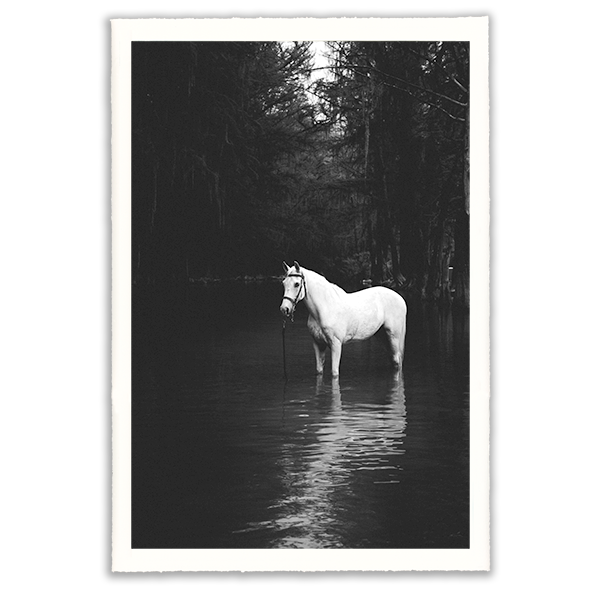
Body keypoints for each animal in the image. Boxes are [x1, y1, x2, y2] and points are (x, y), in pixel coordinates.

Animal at [278, 260, 406, 378]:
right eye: (284, 283)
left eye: (296, 284)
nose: (284, 309)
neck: (325, 308)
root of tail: (400, 299)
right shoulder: (318, 344)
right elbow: (319, 371)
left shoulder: (336, 344)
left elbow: (334, 374)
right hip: (383, 336)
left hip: (393, 336)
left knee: (397, 361)